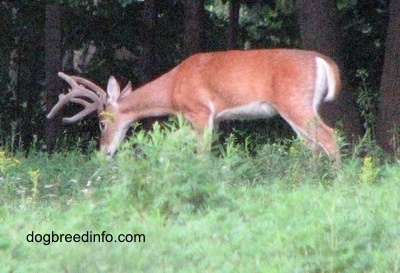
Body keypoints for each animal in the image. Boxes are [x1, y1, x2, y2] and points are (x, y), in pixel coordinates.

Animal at [46, 49, 340, 162]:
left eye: (101, 123)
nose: (103, 153)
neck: (174, 86)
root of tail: (324, 60)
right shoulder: (208, 118)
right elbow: (170, 141)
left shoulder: (199, 111)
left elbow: (202, 154)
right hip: (300, 106)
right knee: (312, 144)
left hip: (294, 101)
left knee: (329, 137)